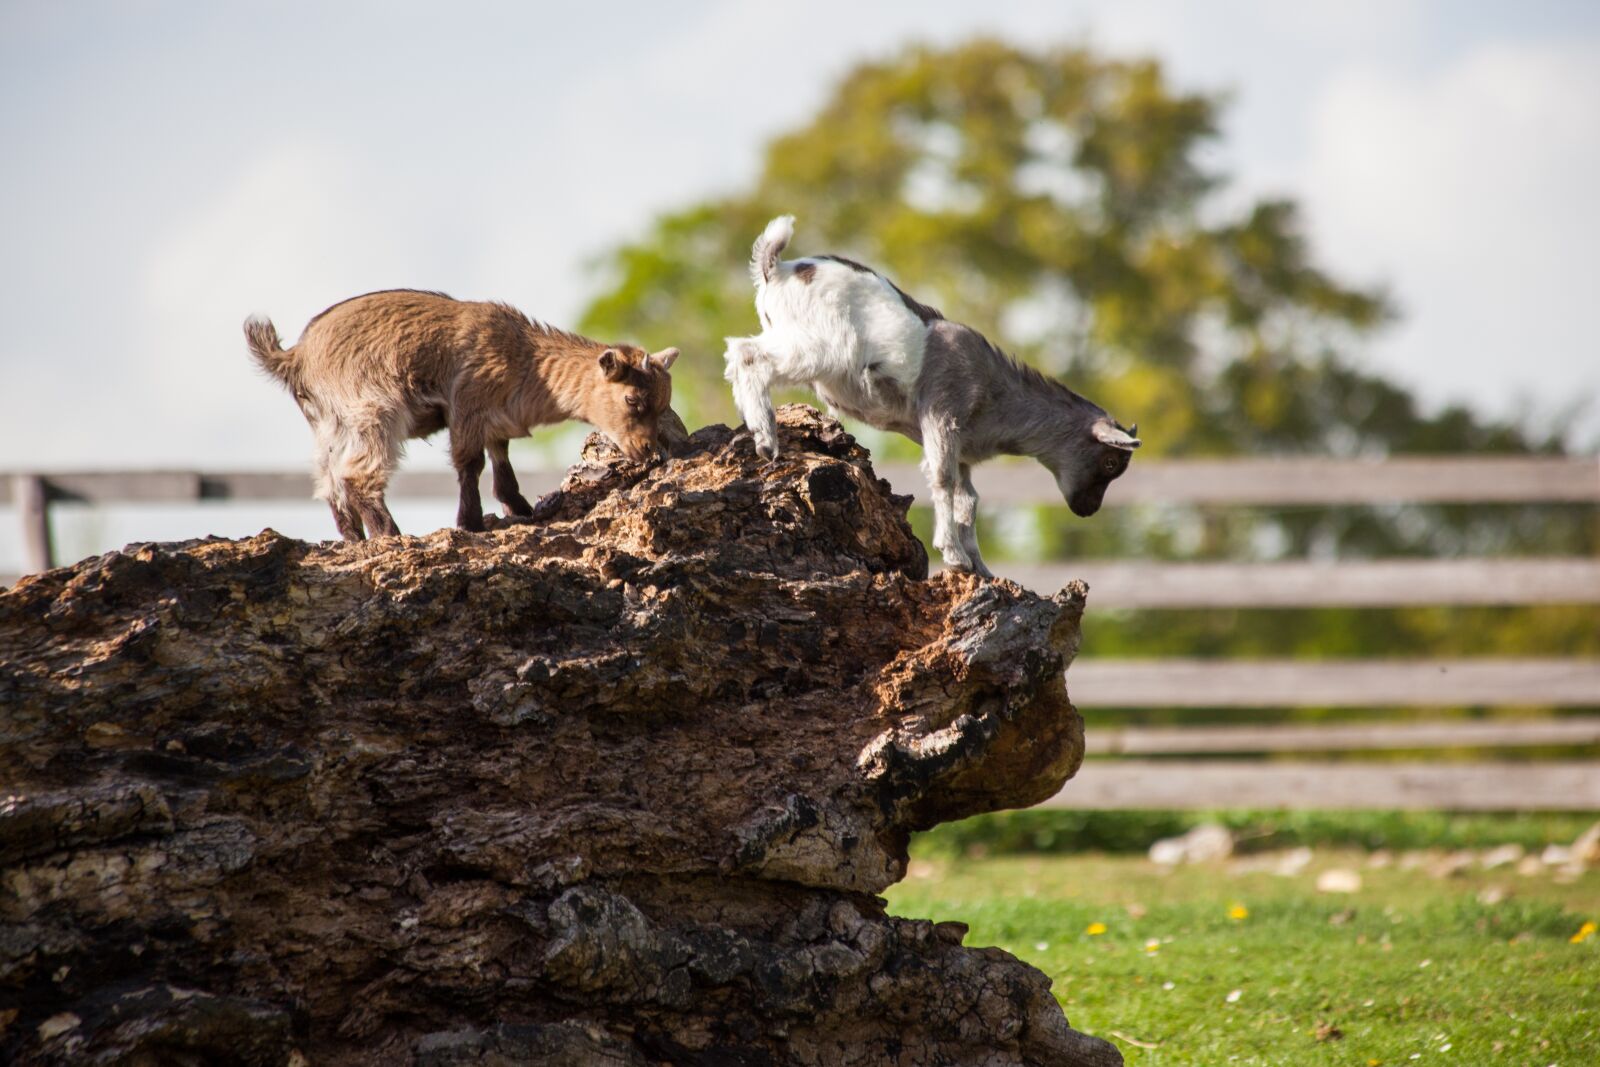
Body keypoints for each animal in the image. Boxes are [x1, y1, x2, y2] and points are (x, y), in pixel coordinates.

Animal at [246, 289, 681, 541]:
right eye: (633, 400)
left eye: (664, 404)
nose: (650, 451)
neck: (526, 360)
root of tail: (295, 356)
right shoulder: (468, 406)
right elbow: (470, 464)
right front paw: (469, 523)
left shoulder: (495, 417)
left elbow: (502, 460)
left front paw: (520, 508)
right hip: (371, 408)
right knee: (357, 473)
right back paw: (390, 535)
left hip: (329, 423)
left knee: (327, 477)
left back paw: (354, 538)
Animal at [724, 216, 1140, 578]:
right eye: (1109, 463)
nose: (1086, 510)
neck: (995, 392)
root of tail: (777, 268)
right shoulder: (942, 414)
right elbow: (942, 480)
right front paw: (953, 556)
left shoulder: (962, 449)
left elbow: (968, 500)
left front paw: (980, 569)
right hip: (822, 349)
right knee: (747, 354)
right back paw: (765, 438)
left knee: (740, 355)